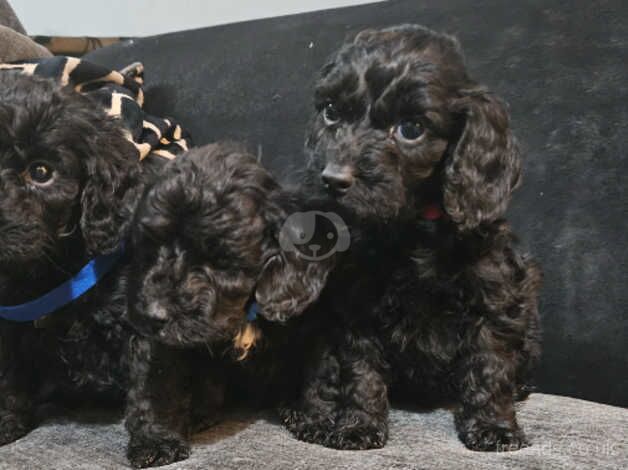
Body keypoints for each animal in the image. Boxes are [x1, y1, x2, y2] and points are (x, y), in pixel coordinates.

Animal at [282, 24, 544, 452]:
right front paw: (357, 426)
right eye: (331, 111)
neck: (412, 227)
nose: (332, 179)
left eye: (410, 129)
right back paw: (310, 416)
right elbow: (360, 370)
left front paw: (494, 427)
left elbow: (489, 365)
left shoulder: (494, 296)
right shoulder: (356, 307)